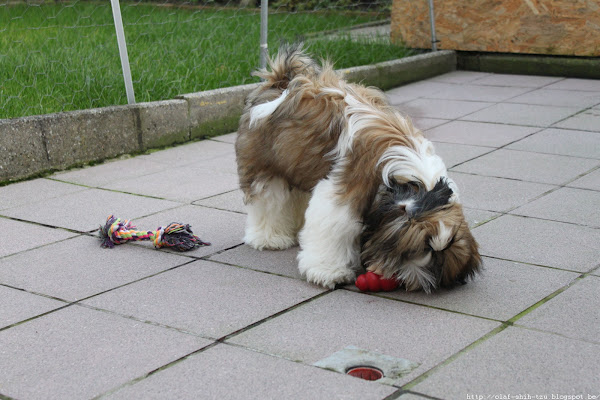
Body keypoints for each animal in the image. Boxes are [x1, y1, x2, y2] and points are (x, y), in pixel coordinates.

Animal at [232, 45, 480, 292]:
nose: (401, 277)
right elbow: (335, 225)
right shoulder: (348, 187)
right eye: (410, 250)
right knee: (270, 200)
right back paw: (270, 238)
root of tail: (281, 80)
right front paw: (328, 271)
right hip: (264, 164)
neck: (414, 182)